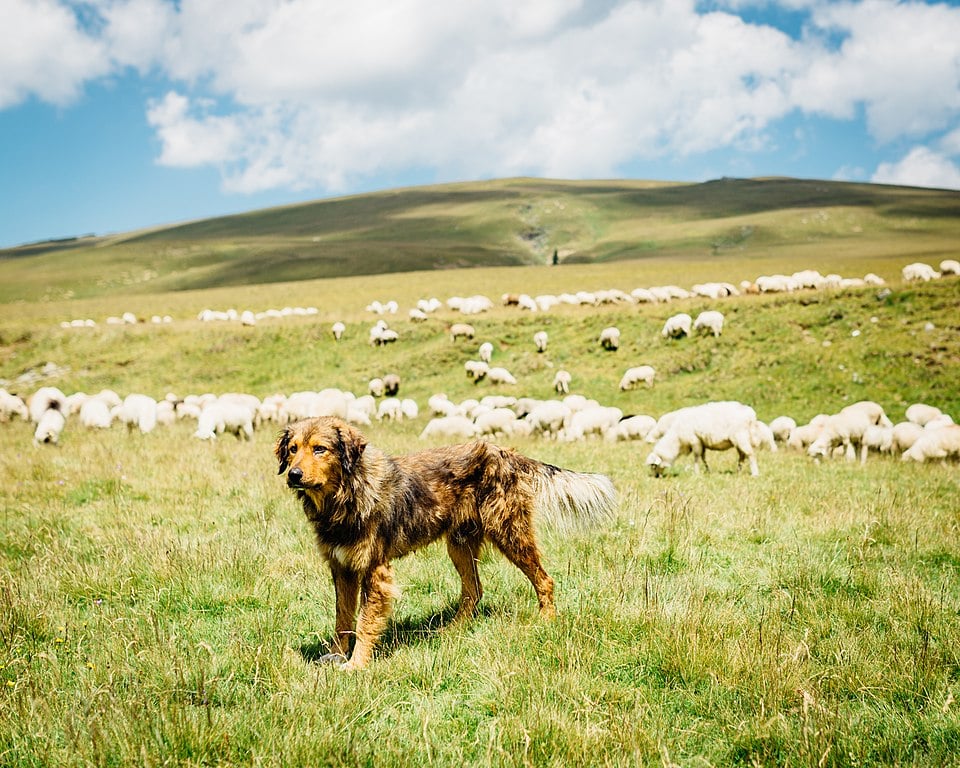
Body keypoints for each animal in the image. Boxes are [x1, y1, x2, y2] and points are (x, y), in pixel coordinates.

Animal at [276, 416, 616, 668]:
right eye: (292, 449)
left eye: (320, 449)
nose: (293, 475)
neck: (344, 496)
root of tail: (504, 452)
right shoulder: (342, 566)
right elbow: (342, 617)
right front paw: (336, 654)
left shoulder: (374, 570)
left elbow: (364, 623)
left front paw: (357, 664)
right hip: (460, 544)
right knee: (474, 591)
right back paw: (452, 630)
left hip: (509, 533)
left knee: (544, 580)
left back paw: (546, 620)